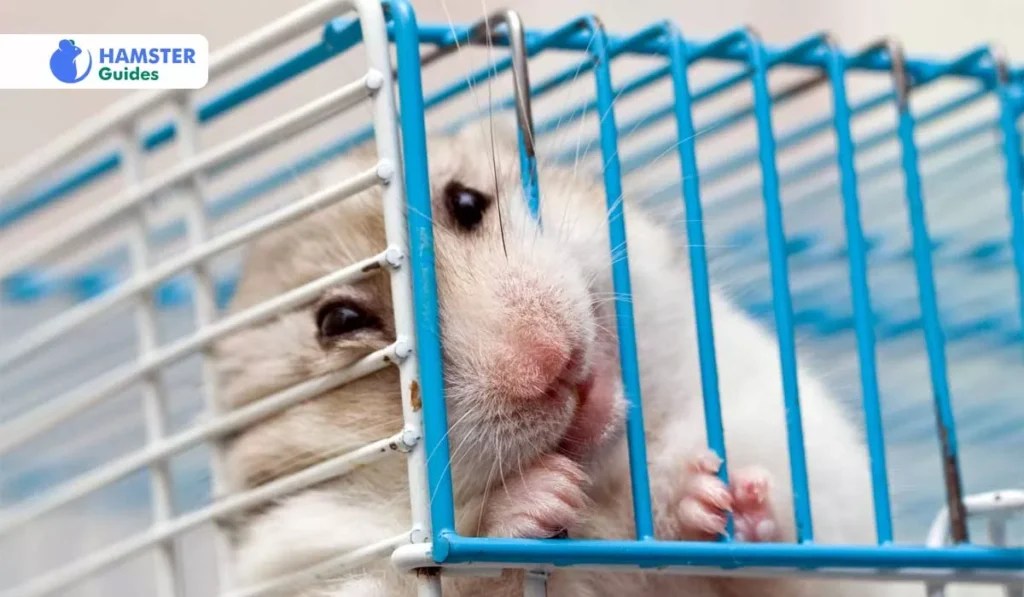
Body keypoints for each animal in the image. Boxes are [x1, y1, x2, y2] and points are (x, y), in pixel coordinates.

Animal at [213, 124, 916, 597]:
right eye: (340, 322)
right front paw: (547, 496)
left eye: (466, 203)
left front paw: (718, 496)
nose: (551, 362)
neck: (602, 477)